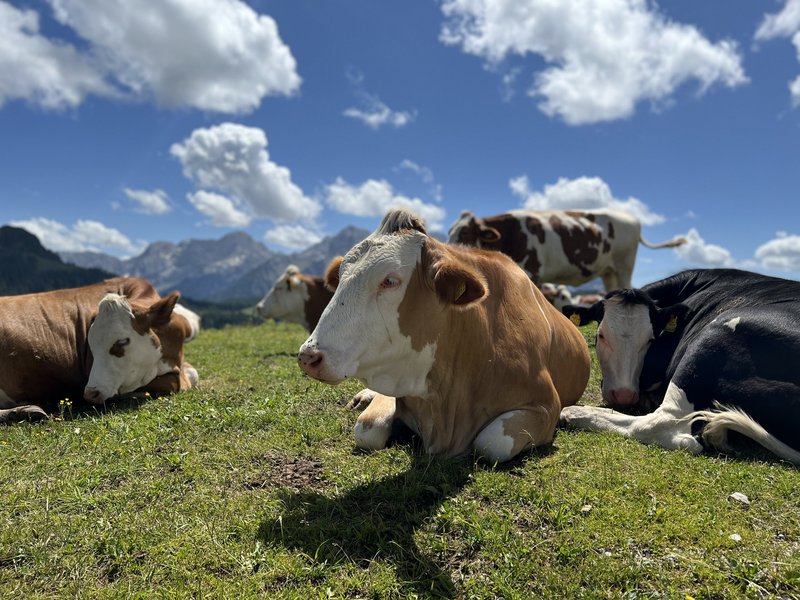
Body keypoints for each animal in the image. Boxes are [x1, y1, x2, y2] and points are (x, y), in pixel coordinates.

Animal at [296, 209, 592, 462]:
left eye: (390, 281)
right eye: (341, 277)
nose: (308, 356)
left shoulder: (546, 406)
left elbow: (492, 442)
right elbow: (367, 428)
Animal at [560, 270, 800, 466]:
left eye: (650, 339)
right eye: (601, 335)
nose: (624, 395)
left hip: (713, 337)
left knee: (665, 427)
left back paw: (576, 413)